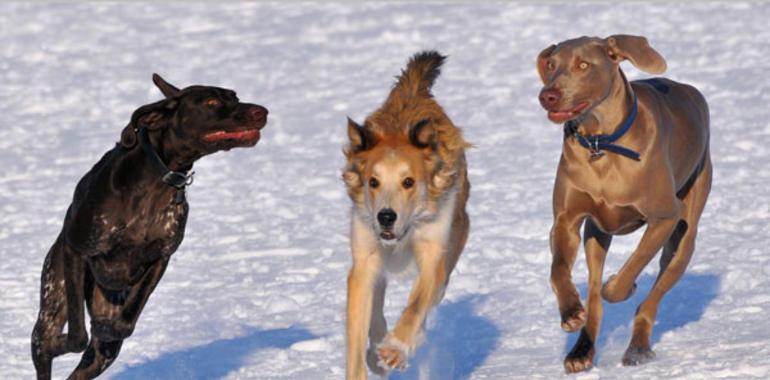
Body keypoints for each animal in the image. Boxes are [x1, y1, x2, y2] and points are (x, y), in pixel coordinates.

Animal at [30, 74, 268, 380]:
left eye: (235, 97)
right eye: (211, 103)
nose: (262, 112)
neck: (155, 181)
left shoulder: (160, 258)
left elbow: (125, 322)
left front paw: (110, 327)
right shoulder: (76, 248)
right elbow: (77, 336)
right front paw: (65, 340)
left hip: (103, 341)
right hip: (52, 298)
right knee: (47, 341)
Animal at [344, 51, 472, 380]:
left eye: (409, 181)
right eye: (373, 181)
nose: (386, 217)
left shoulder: (433, 251)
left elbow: (416, 305)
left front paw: (395, 348)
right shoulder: (365, 258)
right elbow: (358, 328)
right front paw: (373, 357)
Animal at [536, 36, 712, 374]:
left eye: (583, 65)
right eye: (551, 64)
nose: (548, 96)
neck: (601, 143)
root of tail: (691, 92)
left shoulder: (664, 217)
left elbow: (633, 265)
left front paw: (620, 287)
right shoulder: (566, 220)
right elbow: (558, 269)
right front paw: (570, 312)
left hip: (685, 235)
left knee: (652, 298)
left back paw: (638, 348)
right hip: (596, 234)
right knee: (593, 297)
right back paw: (582, 350)